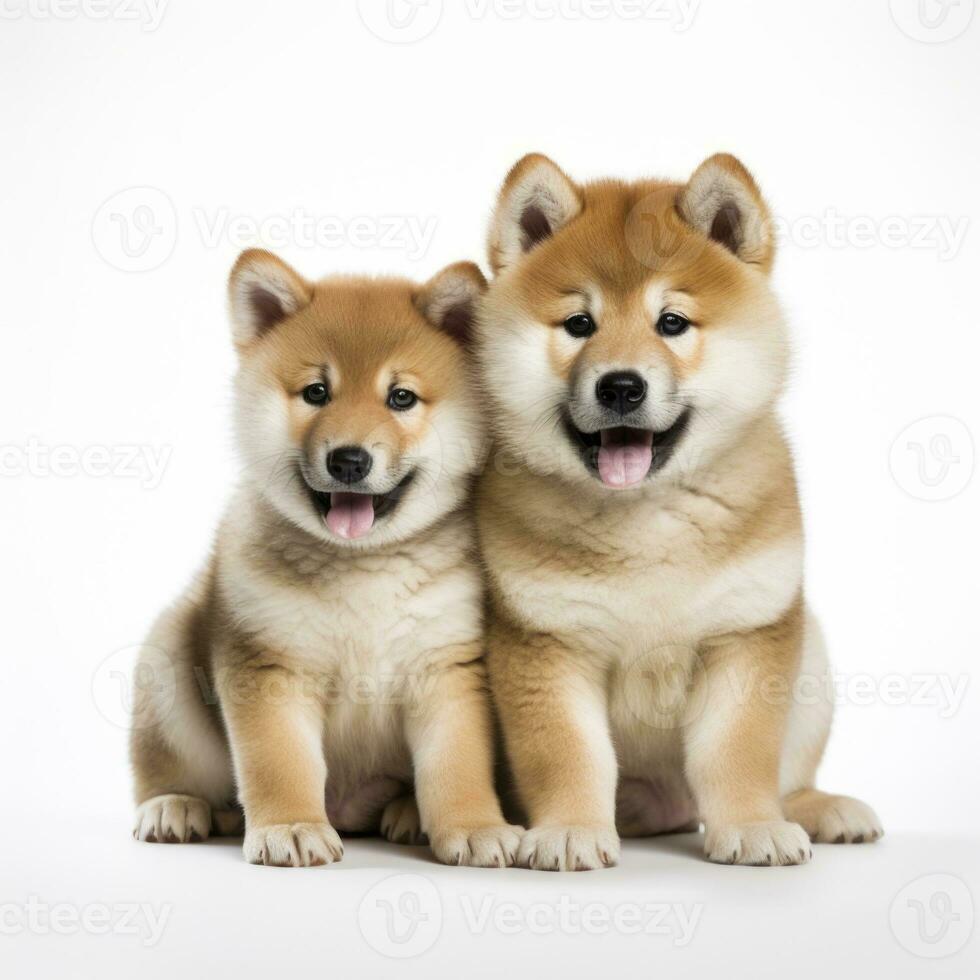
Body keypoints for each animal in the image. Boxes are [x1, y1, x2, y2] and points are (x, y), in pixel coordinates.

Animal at [134, 249, 524, 868]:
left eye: (401, 397)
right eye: (317, 392)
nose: (348, 460)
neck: (362, 568)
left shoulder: (445, 669)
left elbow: (457, 764)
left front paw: (475, 826)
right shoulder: (269, 667)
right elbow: (281, 762)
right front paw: (291, 826)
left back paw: (408, 814)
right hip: (169, 661)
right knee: (170, 770)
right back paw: (175, 805)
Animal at [478, 155, 884, 872]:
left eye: (671, 323)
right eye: (579, 325)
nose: (620, 385)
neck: (644, 520)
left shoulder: (746, 631)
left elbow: (736, 751)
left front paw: (752, 826)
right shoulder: (546, 641)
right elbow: (568, 754)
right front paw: (570, 829)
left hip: (811, 658)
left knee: (791, 774)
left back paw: (821, 809)